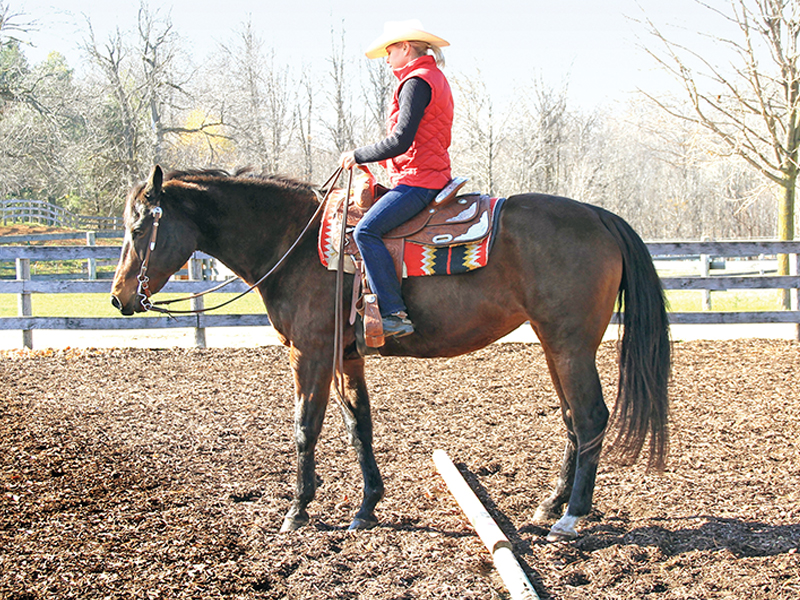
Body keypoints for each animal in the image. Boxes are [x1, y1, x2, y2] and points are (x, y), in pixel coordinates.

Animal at [110, 165, 670, 541]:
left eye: (139, 228)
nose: (119, 298)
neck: (294, 242)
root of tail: (599, 217)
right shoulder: (345, 357)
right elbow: (359, 425)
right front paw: (366, 508)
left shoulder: (310, 353)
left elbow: (305, 427)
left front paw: (297, 509)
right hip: (554, 344)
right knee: (574, 420)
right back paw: (550, 506)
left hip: (571, 343)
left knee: (592, 415)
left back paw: (572, 517)